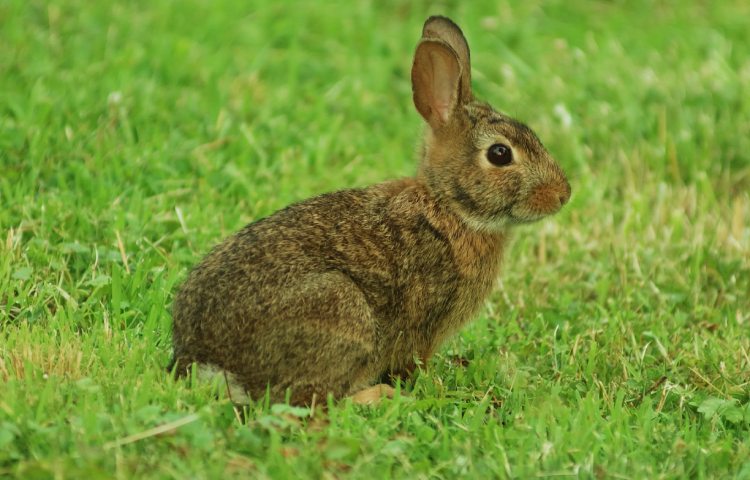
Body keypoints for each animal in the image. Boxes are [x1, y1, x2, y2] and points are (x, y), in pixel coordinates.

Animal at [169, 15, 568, 404]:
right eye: (500, 154)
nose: (563, 194)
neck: (449, 208)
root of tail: (208, 361)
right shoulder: (424, 326)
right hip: (341, 311)